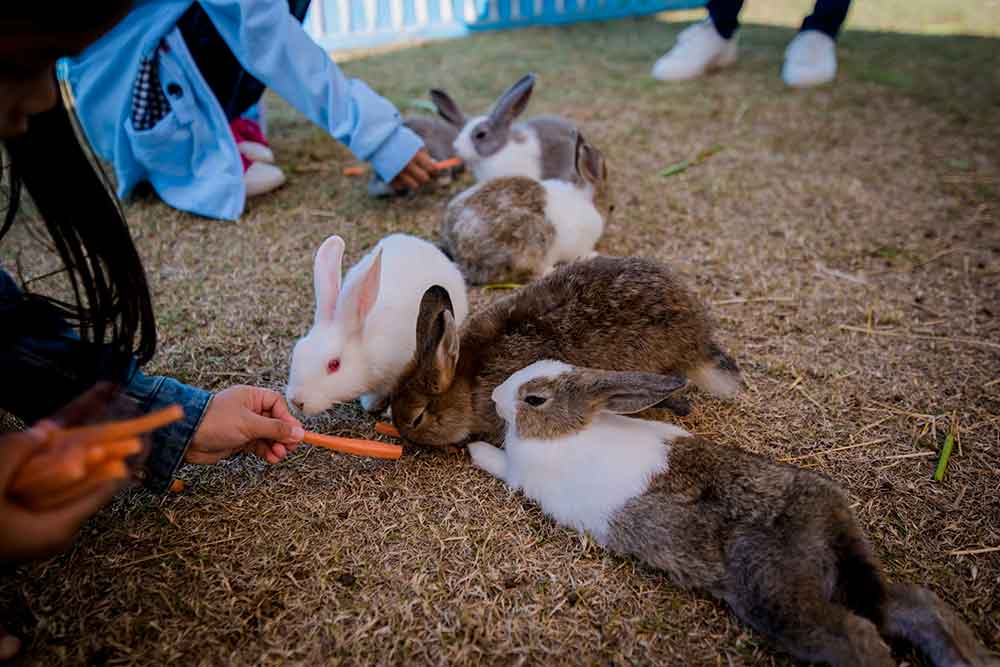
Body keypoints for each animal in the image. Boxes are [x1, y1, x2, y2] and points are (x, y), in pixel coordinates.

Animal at [442, 132, 612, 284]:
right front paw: (592, 255)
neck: (588, 202)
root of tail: (459, 249)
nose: (610, 209)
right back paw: (551, 270)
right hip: (529, 246)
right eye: (611, 207)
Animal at [468, 360, 1000, 667]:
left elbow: (496, 461)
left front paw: (473, 448)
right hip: (854, 574)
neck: (569, 430)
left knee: (860, 638)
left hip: (780, 599)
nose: (494, 397)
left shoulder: (520, 473)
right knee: (912, 604)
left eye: (534, 399)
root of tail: (822, 524)